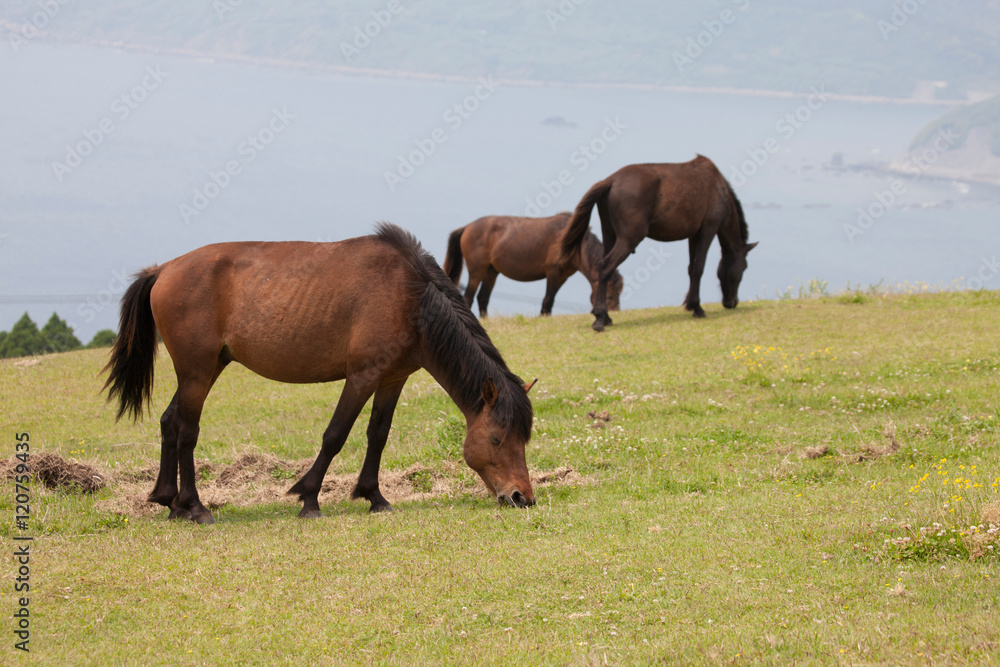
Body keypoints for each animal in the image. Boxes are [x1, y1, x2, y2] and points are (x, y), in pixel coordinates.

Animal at [103, 223, 536, 524]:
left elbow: (378, 435)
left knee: (169, 421)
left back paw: (170, 502)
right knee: (187, 430)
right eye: (497, 439)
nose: (522, 497)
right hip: (197, 372)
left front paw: (374, 497)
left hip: (206, 369)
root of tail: (163, 269)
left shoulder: (393, 379)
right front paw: (309, 497)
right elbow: (335, 435)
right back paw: (195, 507)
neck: (410, 295)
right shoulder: (362, 376)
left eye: (523, 439)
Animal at [442, 212, 623, 317]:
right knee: (469, 298)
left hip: (491, 272)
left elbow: (551, 299)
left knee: (483, 298)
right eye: (610, 296)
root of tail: (467, 227)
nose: (615, 313)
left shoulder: (562, 276)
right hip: (477, 271)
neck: (575, 245)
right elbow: (548, 299)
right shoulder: (553, 272)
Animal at [561, 156, 757, 331]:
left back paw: (606, 317)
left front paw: (690, 305)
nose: (732, 302)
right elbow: (698, 268)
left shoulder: (693, 235)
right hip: (628, 239)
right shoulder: (707, 230)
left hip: (609, 235)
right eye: (744, 267)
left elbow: (691, 269)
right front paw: (697, 308)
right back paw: (600, 318)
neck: (717, 187)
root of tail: (611, 181)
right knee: (605, 266)